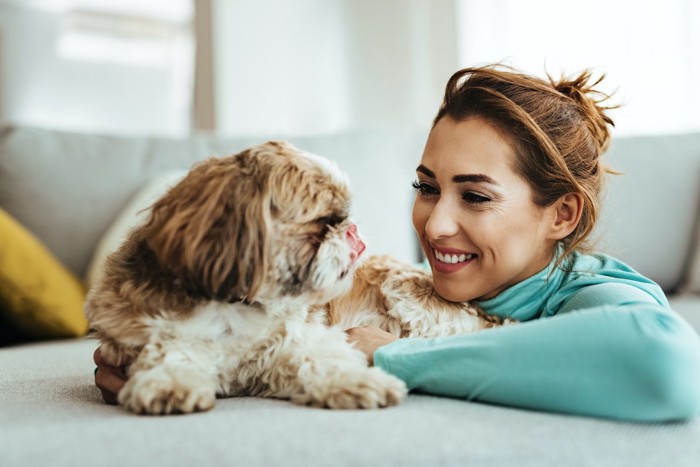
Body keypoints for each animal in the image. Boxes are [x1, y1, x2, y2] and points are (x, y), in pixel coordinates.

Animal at [85, 141, 506, 414]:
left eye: (344, 218)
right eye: (324, 222)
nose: (352, 231)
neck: (236, 306)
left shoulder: (293, 341)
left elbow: (317, 358)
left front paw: (359, 382)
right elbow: (173, 352)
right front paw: (170, 383)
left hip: (407, 296)